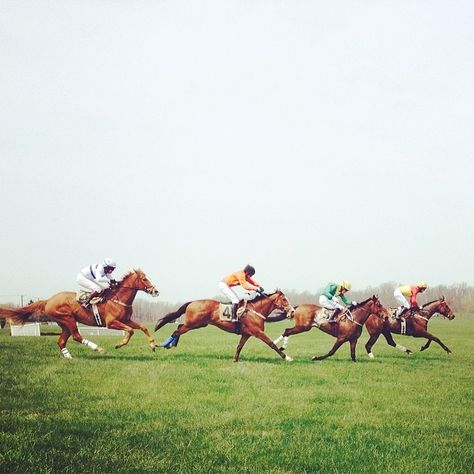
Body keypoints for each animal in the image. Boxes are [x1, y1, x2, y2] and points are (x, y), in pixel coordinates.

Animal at [0, 268, 160, 358]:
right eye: (144, 279)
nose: (156, 291)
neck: (118, 298)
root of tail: (48, 300)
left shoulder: (126, 320)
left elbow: (142, 327)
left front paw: (153, 345)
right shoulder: (111, 323)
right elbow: (131, 331)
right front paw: (119, 344)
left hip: (64, 323)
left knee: (61, 341)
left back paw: (69, 357)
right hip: (68, 319)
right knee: (76, 336)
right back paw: (98, 348)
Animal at [155, 288, 296, 362]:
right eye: (284, 299)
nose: (292, 312)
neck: (255, 310)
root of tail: (192, 302)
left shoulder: (246, 334)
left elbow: (239, 347)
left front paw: (235, 360)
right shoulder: (258, 332)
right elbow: (271, 344)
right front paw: (287, 357)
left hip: (198, 324)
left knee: (178, 328)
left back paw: (171, 344)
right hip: (193, 323)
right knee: (177, 331)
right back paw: (165, 344)